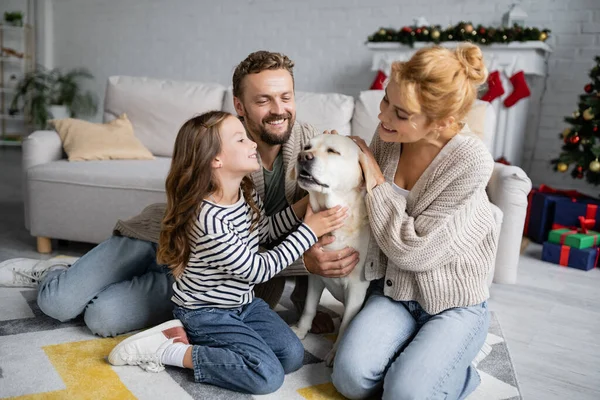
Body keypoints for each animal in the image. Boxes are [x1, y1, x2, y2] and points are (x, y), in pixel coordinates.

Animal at [290, 134, 370, 366]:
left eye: (333, 151)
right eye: (307, 146)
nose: (302, 156)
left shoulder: (357, 288)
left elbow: (346, 326)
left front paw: (335, 353)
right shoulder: (316, 274)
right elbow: (309, 307)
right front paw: (301, 330)